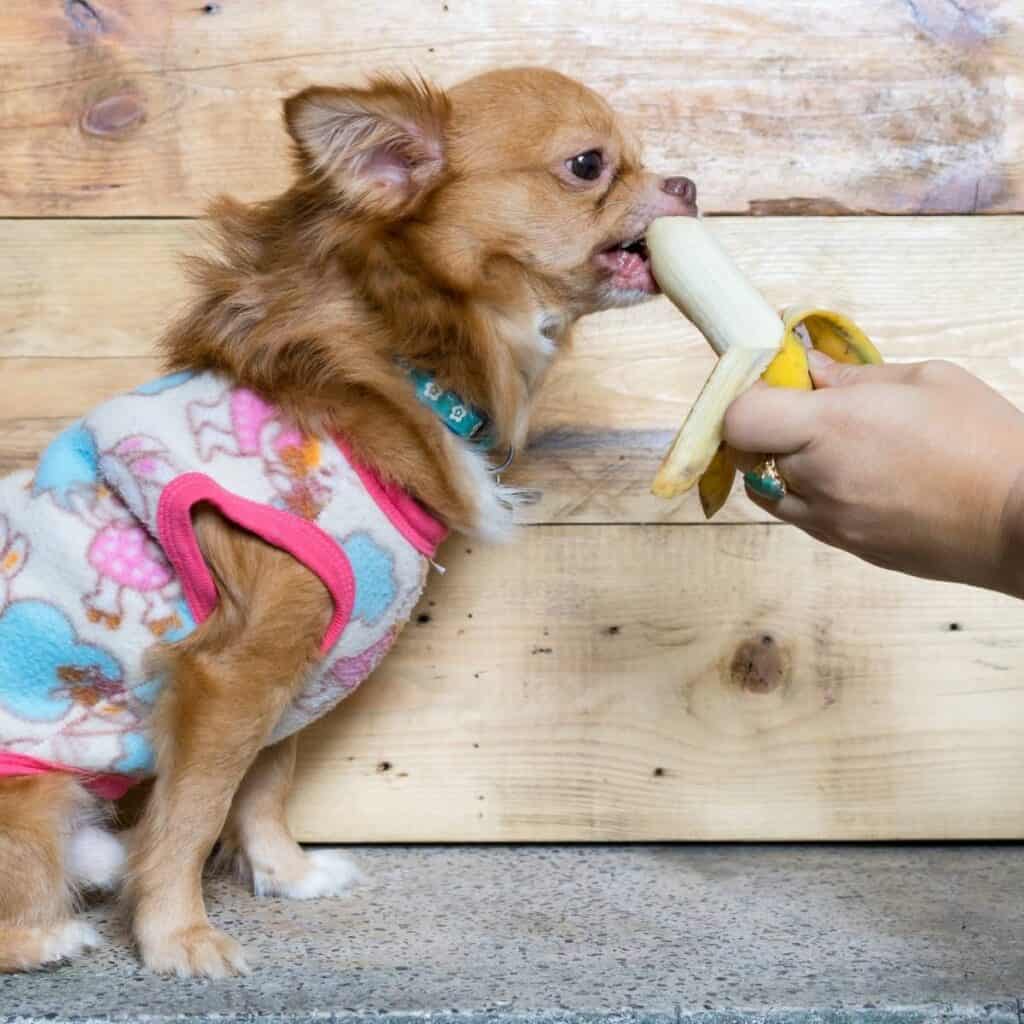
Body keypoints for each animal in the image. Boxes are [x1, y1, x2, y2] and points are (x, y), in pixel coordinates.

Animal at [0, 66, 696, 974]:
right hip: (42, 798)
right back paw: (53, 935)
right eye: (589, 165)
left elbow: (264, 785)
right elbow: (192, 812)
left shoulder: (295, 668)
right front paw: (178, 937)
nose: (688, 185)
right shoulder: (236, 673)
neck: (397, 364)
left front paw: (286, 875)